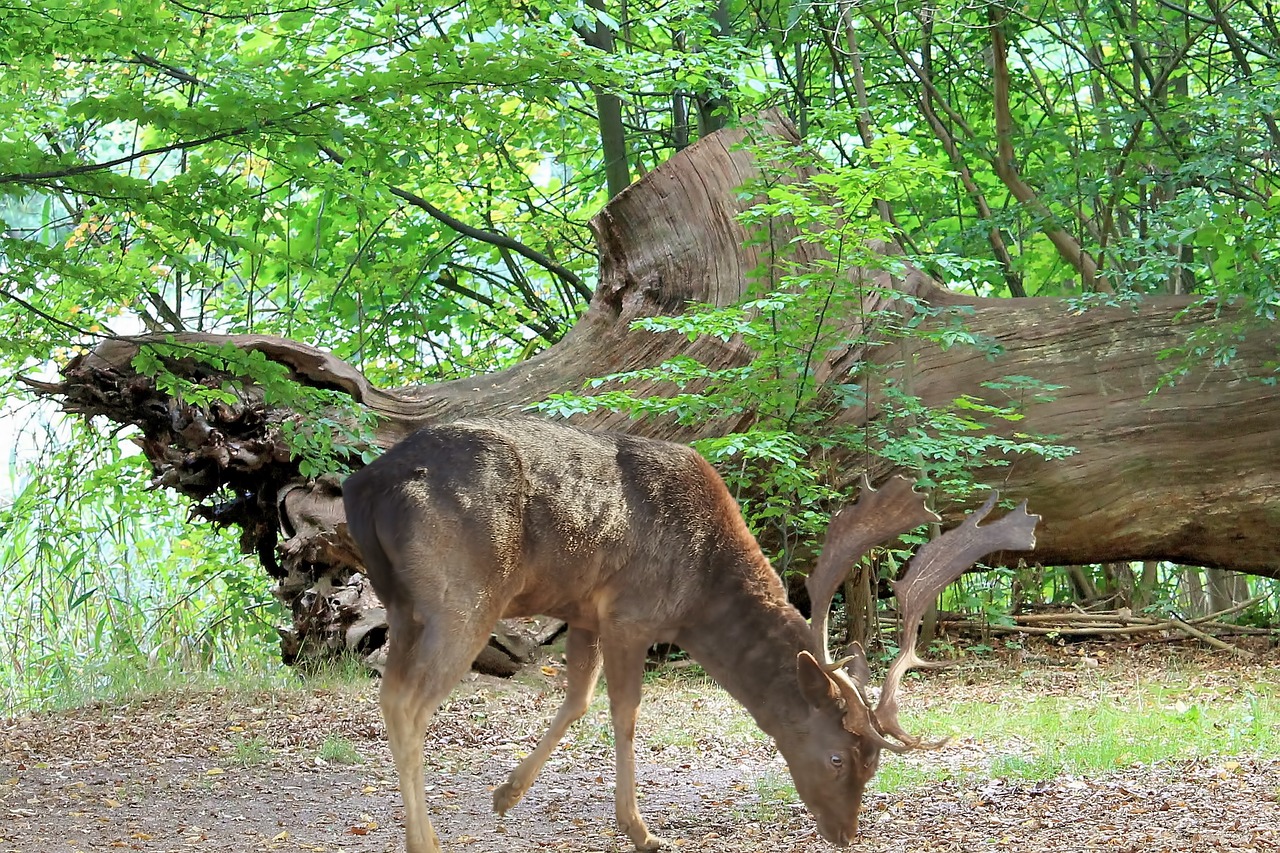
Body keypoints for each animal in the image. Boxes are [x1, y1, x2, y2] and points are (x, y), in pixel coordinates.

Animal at [343, 414, 1039, 845]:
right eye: (838, 756)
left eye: (874, 766)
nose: (845, 833)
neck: (701, 593)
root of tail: (365, 482)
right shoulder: (631, 613)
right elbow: (624, 712)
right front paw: (639, 829)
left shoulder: (584, 612)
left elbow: (577, 700)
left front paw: (506, 795)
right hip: (463, 595)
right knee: (404, 699)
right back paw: (427, 841)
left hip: (403, 603)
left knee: (392, 688)